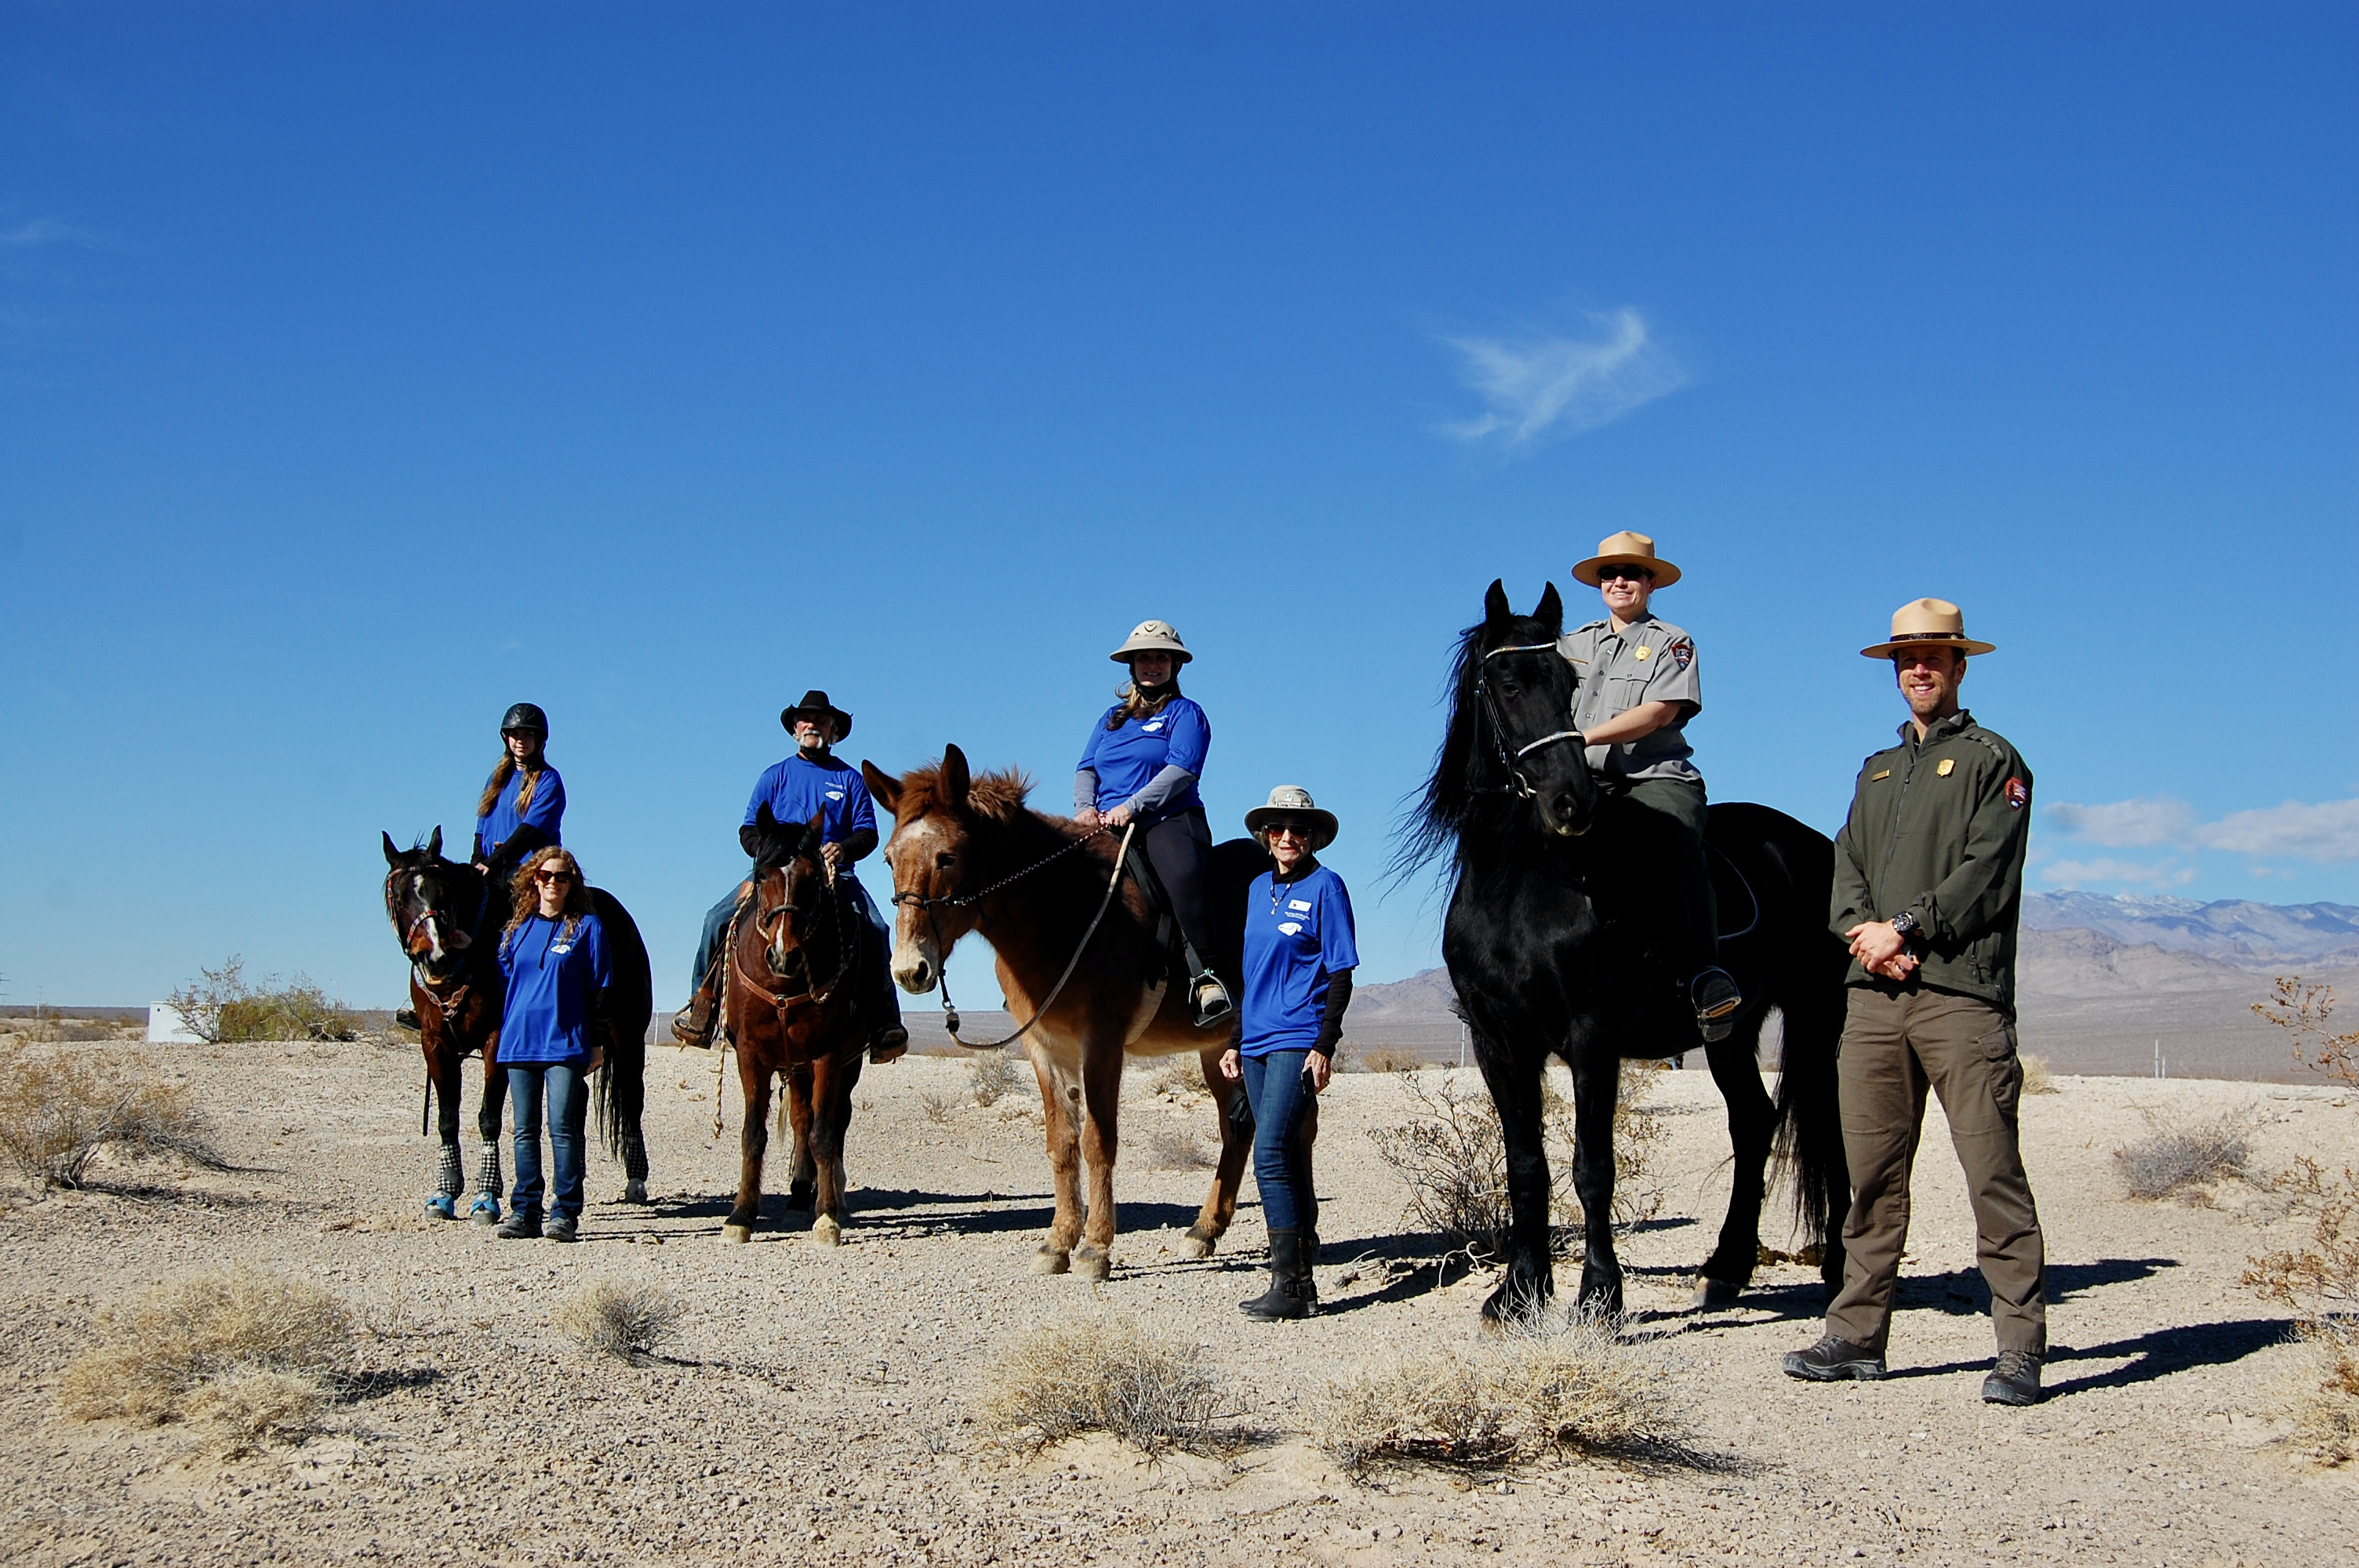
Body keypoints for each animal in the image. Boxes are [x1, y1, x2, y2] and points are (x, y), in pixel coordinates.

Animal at [380, 825, 656, 1216]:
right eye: (400, 898)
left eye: (444, 893)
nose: (436, 956)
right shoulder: (435, 1044)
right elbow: (447, 1118)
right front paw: (445, 1191)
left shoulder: (496, 1041)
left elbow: (489, 1117)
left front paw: (486, 1195)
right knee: (578, 1100)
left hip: (628, 1036)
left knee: (632, 1098)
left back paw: (635, 1180)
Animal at [722, 801, 872, 1244]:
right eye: (761, 875)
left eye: (812, 878)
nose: (782, 956)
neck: (784, 984)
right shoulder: (751, 1053)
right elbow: (754, 1134)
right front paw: (740, 1216)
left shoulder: (828, 1054)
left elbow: (824, 1135)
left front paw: (827, 1218)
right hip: (796, 1066)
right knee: (802, 1118)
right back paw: (798, 1196)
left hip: (843, 1066)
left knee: (833, 1122)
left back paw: (832, 1195)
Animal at [863, 740, 1274, 1283]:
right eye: (889, 858)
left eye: (947, 857)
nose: (910, 970)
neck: (1063, 910)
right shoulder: (1045, 1046)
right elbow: (1062, 1142)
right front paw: (1058, 1241)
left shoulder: (1100, 1042)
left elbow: (1099, 1141)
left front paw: (1096, 1247)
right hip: (1217, 1050)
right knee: (1238, 1128)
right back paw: (1206, 1229)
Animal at [1387, 579, 1849, 1311]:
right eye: (1509, 684)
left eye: (1569, 682)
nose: (1570, 802)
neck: (1525, 878)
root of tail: (1814, 843)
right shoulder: (1498, 1042)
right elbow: (1526, 1165)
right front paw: (1520, 1293)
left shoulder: (1592, 1033)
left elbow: (1592, 1165)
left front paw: (1600, 1294)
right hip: (1733, 1030)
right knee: (1753, 1121)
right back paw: (1727, 1268)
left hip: (1816, 1014)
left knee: (1829, 1130)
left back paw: (1839, 1271)